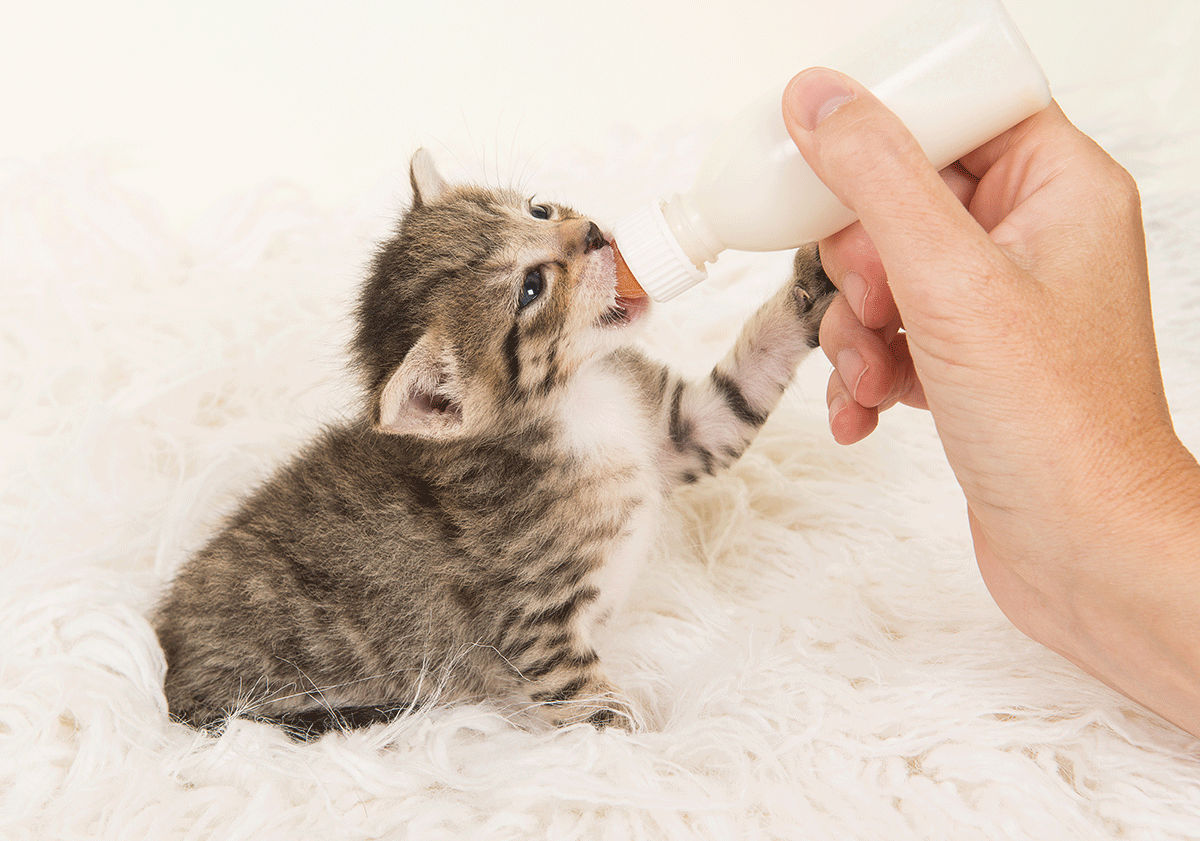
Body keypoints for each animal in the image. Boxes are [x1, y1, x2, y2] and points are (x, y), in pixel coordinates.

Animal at [152, 151, 835, 734]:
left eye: (537, 210)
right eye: (531, 288)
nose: (593, 232)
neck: (581, 402)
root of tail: (168, 661)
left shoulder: (682, 431)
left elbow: (744, 383)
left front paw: (814, 284)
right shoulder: (536, 628)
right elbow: (595, 710)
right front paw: (654, 759)